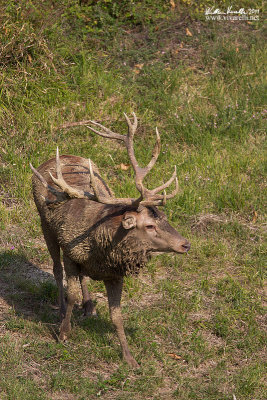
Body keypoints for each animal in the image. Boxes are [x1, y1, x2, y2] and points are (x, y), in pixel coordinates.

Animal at [30, 111, 191, 368]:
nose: (185, 244)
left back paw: (89, 306)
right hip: (45, 225)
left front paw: (129, 357)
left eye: (165, 218)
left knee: (82, 277)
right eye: (149, 225)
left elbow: (116, 315)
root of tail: (59, 156)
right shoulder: (71, 253)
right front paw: (64, 333)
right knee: (56, 268)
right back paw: (62, 309)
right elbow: (71, 293)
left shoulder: (115, 274)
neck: (101, 251)